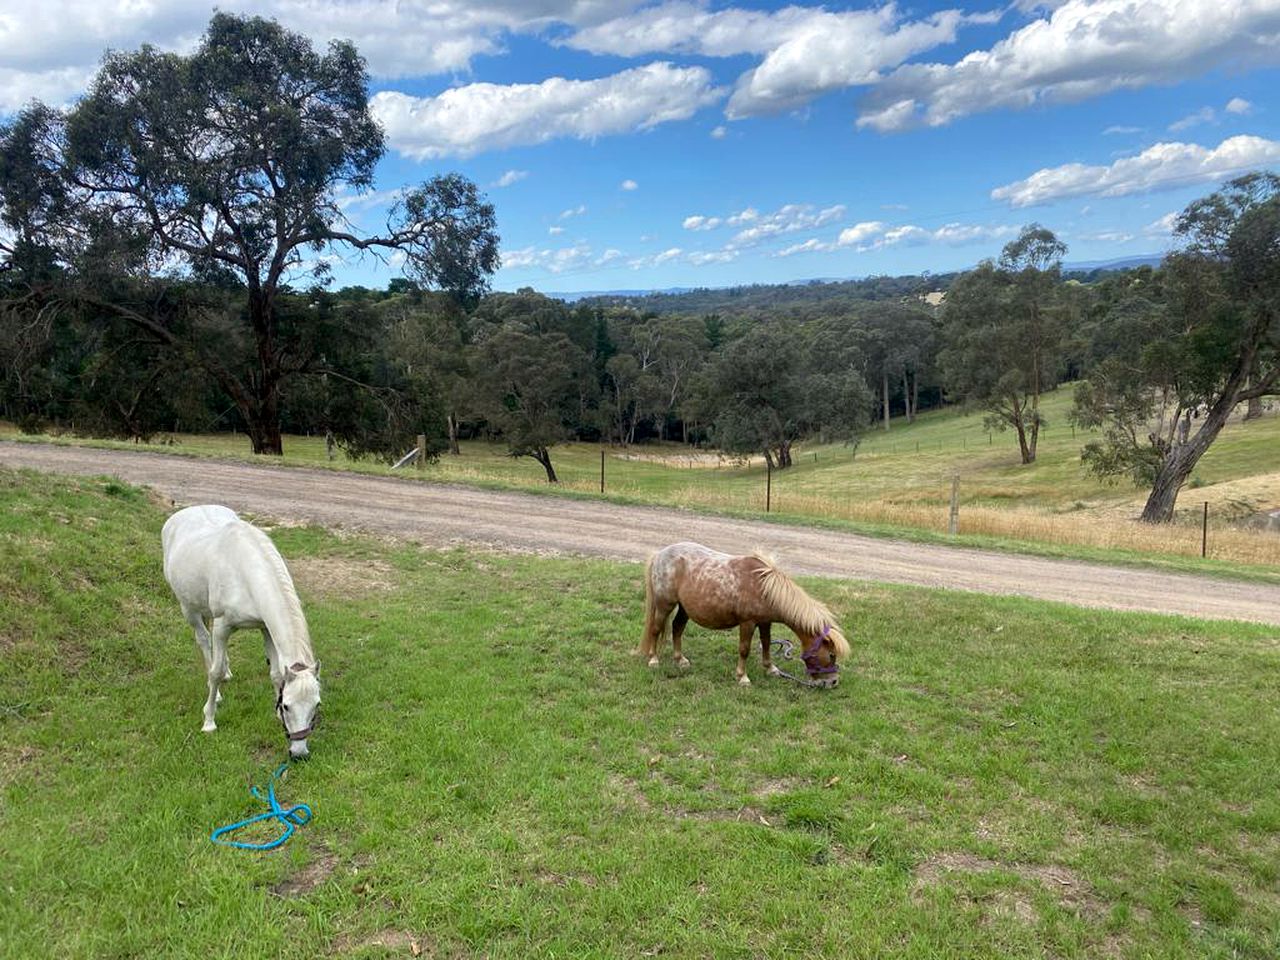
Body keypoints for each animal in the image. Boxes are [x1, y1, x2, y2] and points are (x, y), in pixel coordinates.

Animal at [161, 504, 320, 757]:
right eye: (287, 705)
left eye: (316, 705)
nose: (299, 753)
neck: (246, 573)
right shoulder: (223, 626)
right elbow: (214, 672)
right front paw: (209, 721)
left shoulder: (265, 628)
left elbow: (275, 674)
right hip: (189, 609)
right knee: (204, 640)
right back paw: (216, 693)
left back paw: (227, 671)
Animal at [640, 545, 849, 686]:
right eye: (831, 654)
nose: (833, 682)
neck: (763, 587)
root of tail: (659, 555)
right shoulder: (747, 623)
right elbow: (744, 649)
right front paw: (743, 677)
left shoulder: (765, 622)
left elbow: (766, 643)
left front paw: (771, 668)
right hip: (664, 605)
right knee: (656, 630)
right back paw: (653, 660)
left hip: (684, 608)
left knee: (677, 628)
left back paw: (680, 660)